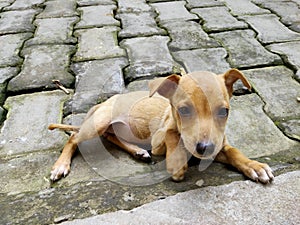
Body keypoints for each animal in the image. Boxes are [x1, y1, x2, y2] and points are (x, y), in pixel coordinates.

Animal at [48, 69, 274, 184]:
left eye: (224, 112)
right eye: (183, 110)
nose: (204, 148)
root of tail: (101, 104)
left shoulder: (218, 145)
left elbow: (234, 152)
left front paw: (254, 166)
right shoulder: (160, 140)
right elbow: (172, 134)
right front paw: (177, 163)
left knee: (111, 137)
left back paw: (138, 151)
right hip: (99, 122)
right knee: (74, 138)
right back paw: (60, 165)